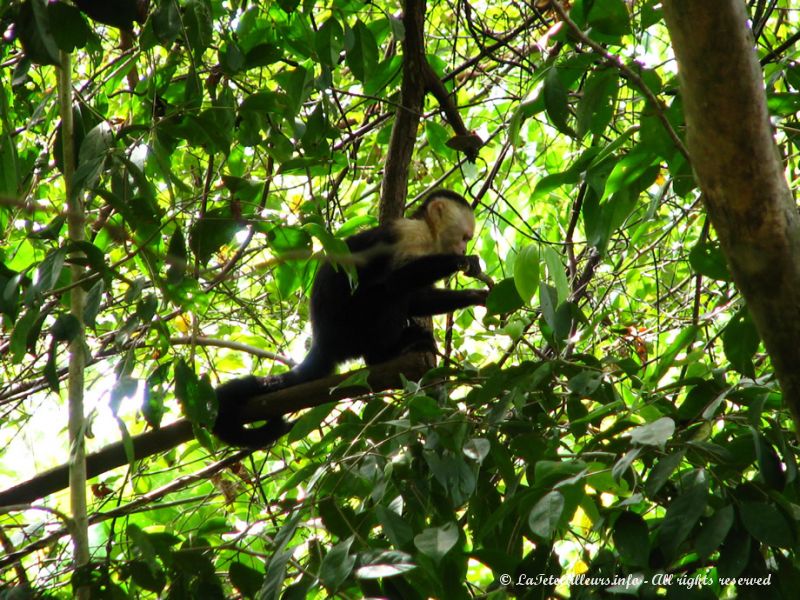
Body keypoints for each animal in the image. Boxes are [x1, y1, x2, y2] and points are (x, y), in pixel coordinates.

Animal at [212, 190, 488, 448]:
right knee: (386, 293)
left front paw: (476, 295)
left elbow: (417, 299)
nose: (463, 248)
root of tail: (322, 341)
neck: (429, 233)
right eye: (465, 238)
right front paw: (459, 261)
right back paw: (387, 352)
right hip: (351, 325)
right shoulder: (411, 236)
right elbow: (396, 283)